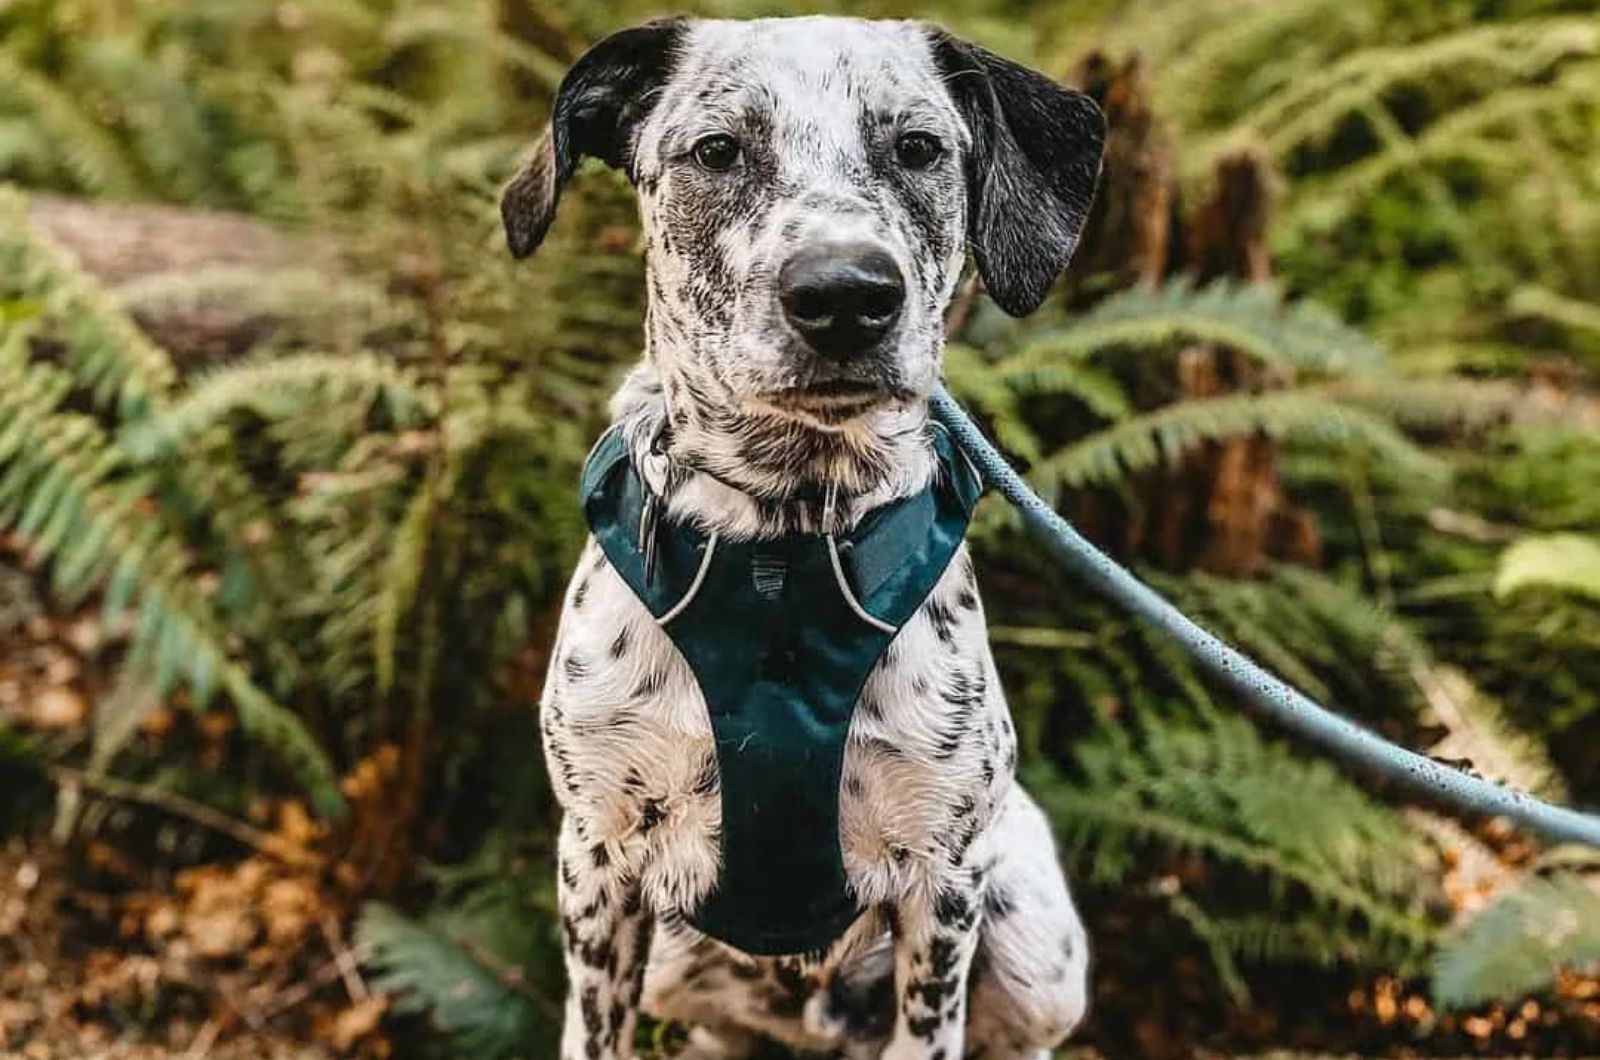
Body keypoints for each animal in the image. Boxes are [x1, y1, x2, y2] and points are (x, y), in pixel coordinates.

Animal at [505, 16, 1107, 1060]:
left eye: (919, 147)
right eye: (717, 151)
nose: (845, 295)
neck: (784, 547)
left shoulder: (944, 880)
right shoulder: (598, 861)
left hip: (1033, 942)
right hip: (675, 963)